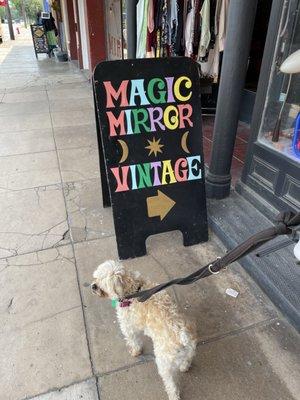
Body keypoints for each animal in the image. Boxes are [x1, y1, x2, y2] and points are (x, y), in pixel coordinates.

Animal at [92, 260, 198, 400]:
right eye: (96, 277)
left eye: (102, 280)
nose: (93, 286)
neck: (133, 290)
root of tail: (182, 334)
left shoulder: (128, 327)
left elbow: (134, 341)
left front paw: (136, 352)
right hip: (189, 352)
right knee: (187, 361)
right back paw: (184, 367)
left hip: (164, 364)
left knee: (171, 384)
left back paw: (173, 395)